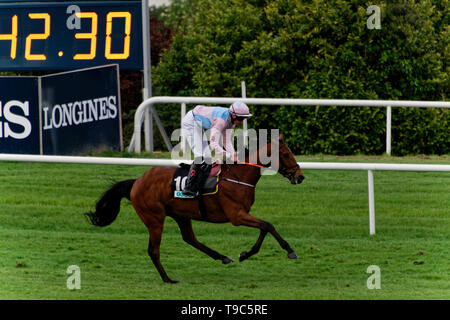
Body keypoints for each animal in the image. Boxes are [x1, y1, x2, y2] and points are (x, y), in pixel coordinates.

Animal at [84, 136, 304, 282]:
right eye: (285, 154)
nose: (300, 177)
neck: (239, 176)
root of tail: (136, 182)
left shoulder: (242, 214)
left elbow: (264, 228)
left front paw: (245, 254)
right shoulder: (237, 215)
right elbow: (267, 225)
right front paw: (289, 251)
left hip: (181, 215)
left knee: (190, 238)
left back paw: (223, 257)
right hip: (154, 218)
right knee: (153, 250)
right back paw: (167, 278)